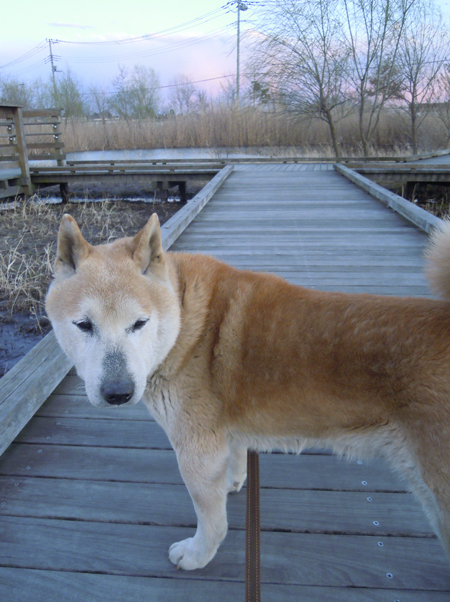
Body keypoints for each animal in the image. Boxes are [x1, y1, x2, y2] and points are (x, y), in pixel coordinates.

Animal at [45, 212, 450, 571]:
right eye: (84, 325)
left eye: (139, 323)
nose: (118, 392)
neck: (187, 324)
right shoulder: (226, 435)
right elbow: (235, 462)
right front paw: (233, 482)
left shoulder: (195, 452)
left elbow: (212, 522)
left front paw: (197, 556)